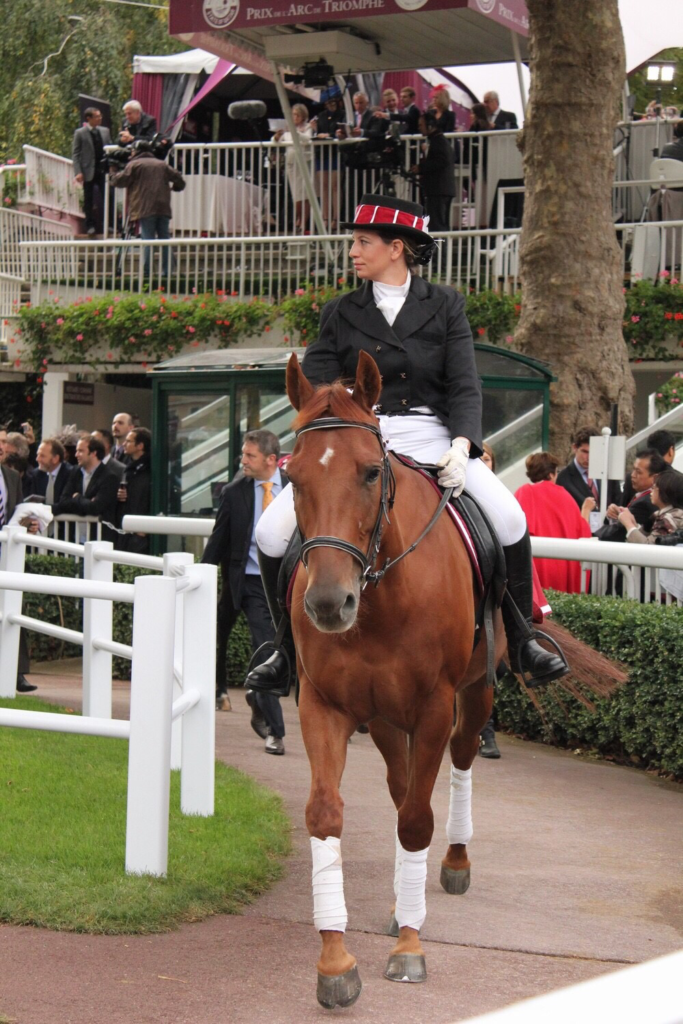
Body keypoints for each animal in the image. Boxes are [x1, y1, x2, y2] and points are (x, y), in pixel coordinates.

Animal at [286, 350, 622, 1007]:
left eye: (371, 472)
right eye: (291, 477)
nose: (329, 605)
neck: (380, 593)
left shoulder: (435, 705)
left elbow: (419, 818)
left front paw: (409, 949)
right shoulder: (324, 704)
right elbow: (327, 814)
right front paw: (336, 961)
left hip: (474, 693)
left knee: (459, 765)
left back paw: (453, 865)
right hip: (384, 717)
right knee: (400, 786)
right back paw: (401, 898)